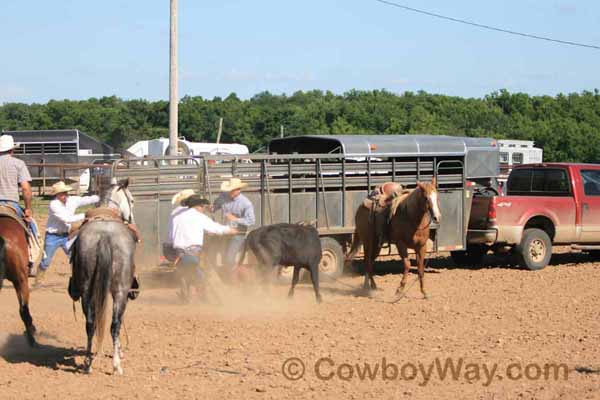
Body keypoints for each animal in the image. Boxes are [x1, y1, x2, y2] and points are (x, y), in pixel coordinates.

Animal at [69, 179, 137, 376]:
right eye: (132, 200)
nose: (132, 220)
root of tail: (105, 236)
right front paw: (119, 351)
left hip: (87, 291)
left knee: (91, 323)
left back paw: (88, 363)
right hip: (121, 291)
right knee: (114, 324)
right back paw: (115, 365)